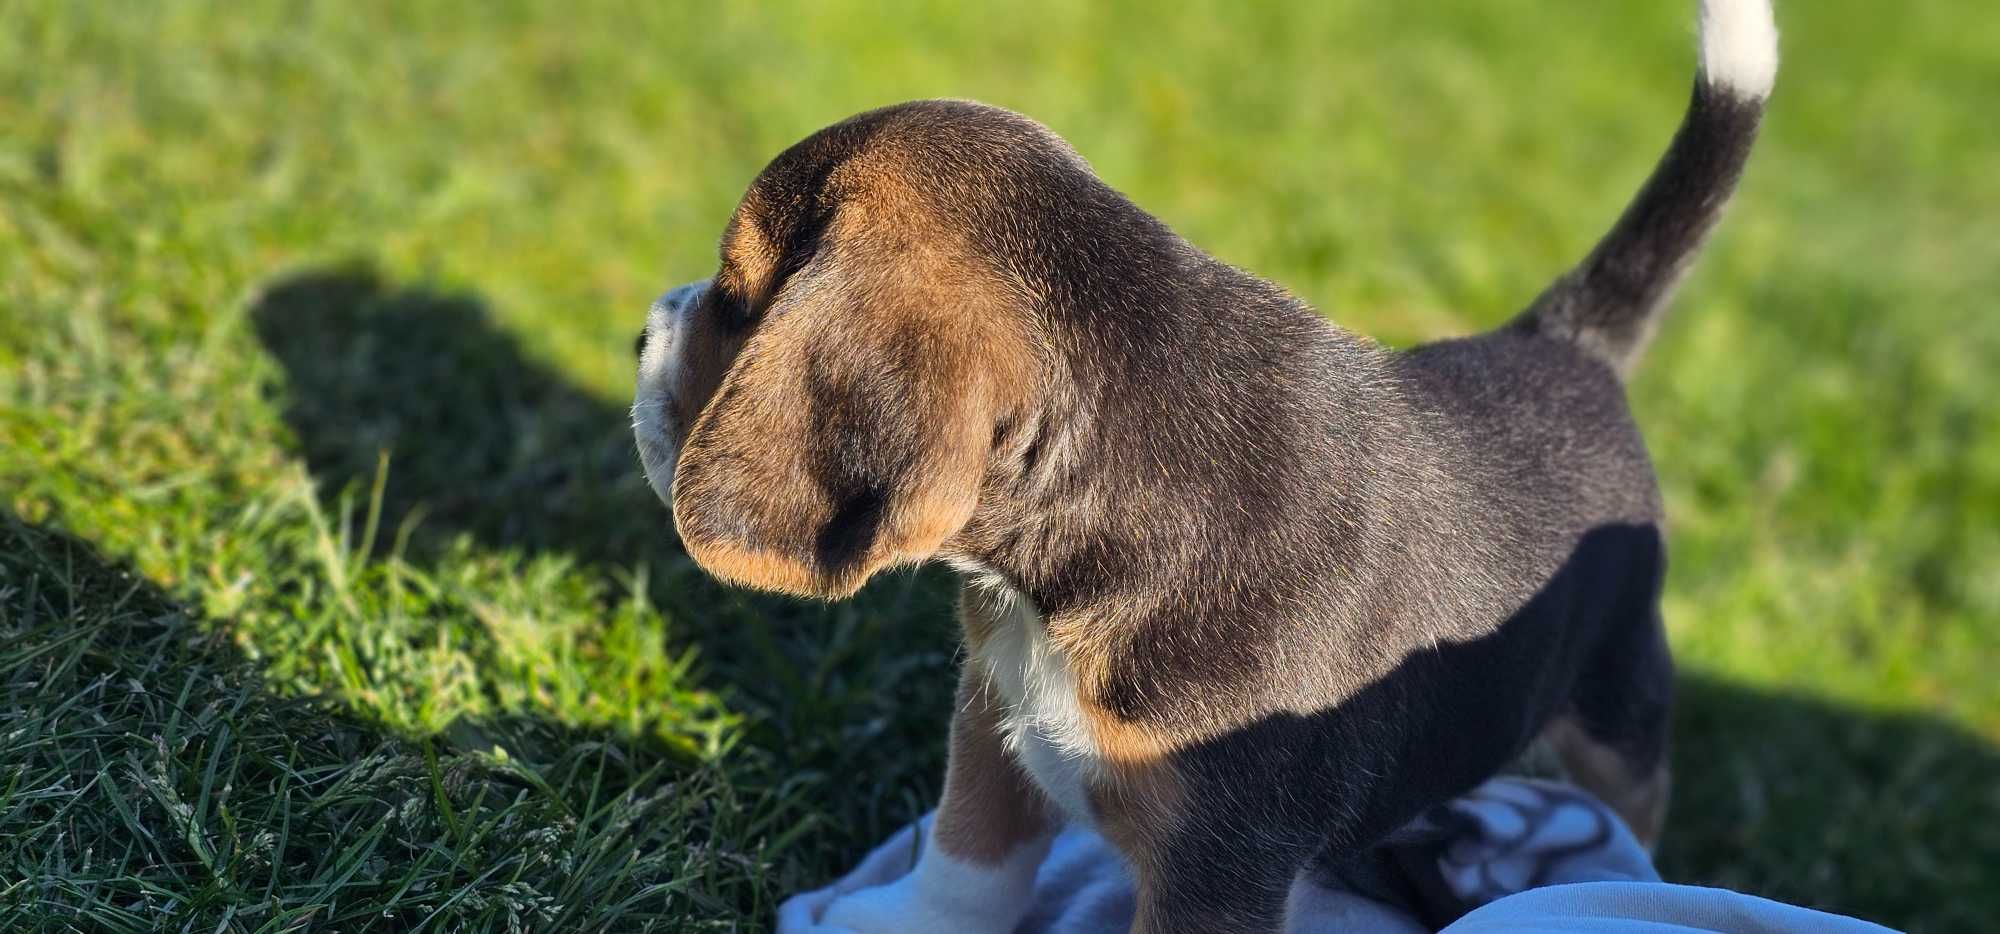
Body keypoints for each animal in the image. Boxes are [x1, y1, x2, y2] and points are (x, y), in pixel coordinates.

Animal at [632, 3, 1776, 932]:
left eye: (737, 295)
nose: (642, 330)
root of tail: (1563, 343)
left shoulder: (1216, 872)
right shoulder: (991, 713)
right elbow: (967, 864)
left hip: (1620, 704)